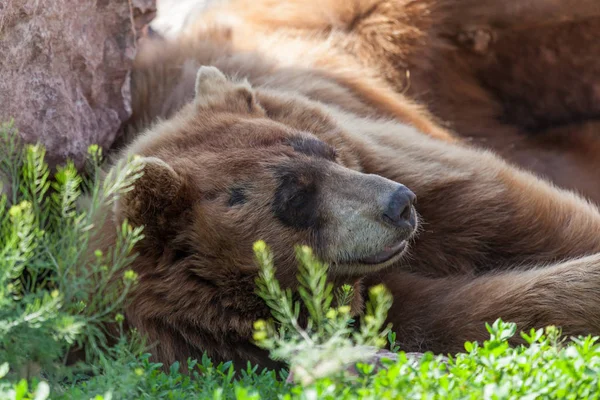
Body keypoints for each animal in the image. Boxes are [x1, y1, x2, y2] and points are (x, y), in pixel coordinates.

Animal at [97, 29, 600, 368]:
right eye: (294, 197)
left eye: (325, 151)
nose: (399, 204)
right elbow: (466, 315)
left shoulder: (399, 163)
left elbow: (514, 212)